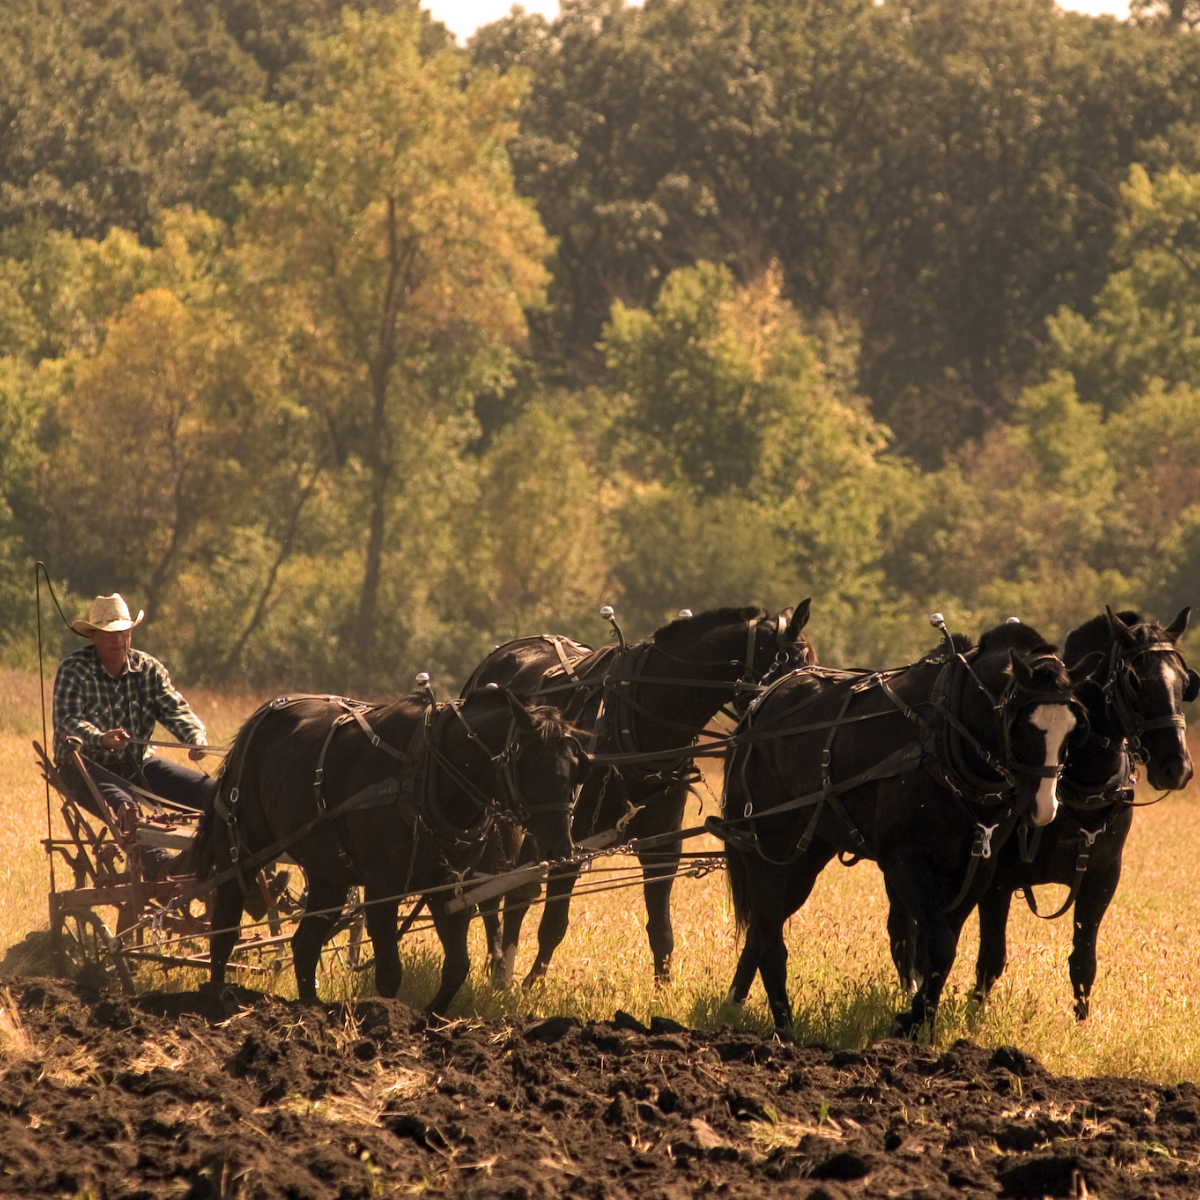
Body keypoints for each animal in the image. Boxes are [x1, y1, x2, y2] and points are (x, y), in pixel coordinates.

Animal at [192, 691, 585, 1017]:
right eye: (531, 765)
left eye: (575, 769)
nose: (561, 849)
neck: (432, 772)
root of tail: (266, 713)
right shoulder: (383, 889)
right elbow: (390, 974)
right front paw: (388, 1019)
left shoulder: (450, 887)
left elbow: (457, 967)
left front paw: (429, 1019)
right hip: (241, 846)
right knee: (225, 923)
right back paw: (215, 998)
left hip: (328, 872)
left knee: (305, 943)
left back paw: (310, 1009)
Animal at [458, 600, 816, 984]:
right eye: (794, 664)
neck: (635, 723)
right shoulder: (569, 844)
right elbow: (552, 924)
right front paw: (531, 985)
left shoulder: (661, 847)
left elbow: (661, 930)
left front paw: (663, 989)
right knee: (504, 890)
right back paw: (501, 969)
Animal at [715, 619, 1094, 1032]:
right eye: (1022, 725)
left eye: (1073, 728)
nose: (1043, 807)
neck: (943, 739)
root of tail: (759, 705)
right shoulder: (903, 862)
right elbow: (939, 945)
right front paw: (911, 1020)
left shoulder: (976, 868)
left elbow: (939, 947)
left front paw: (920, 1020)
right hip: (765, 849)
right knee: (770, 940)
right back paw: (784, 1028)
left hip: (805, 857)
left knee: (761, 930)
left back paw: (737, 1004)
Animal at [960, 604, 1195, 1017]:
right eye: (1135, 681)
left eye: (1184, 682)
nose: (1177, 769)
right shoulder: (997, 882)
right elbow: (990, 959)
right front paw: (973, 1016)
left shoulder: (1101, 879)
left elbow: (1083, 963)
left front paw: (1082, 1022)